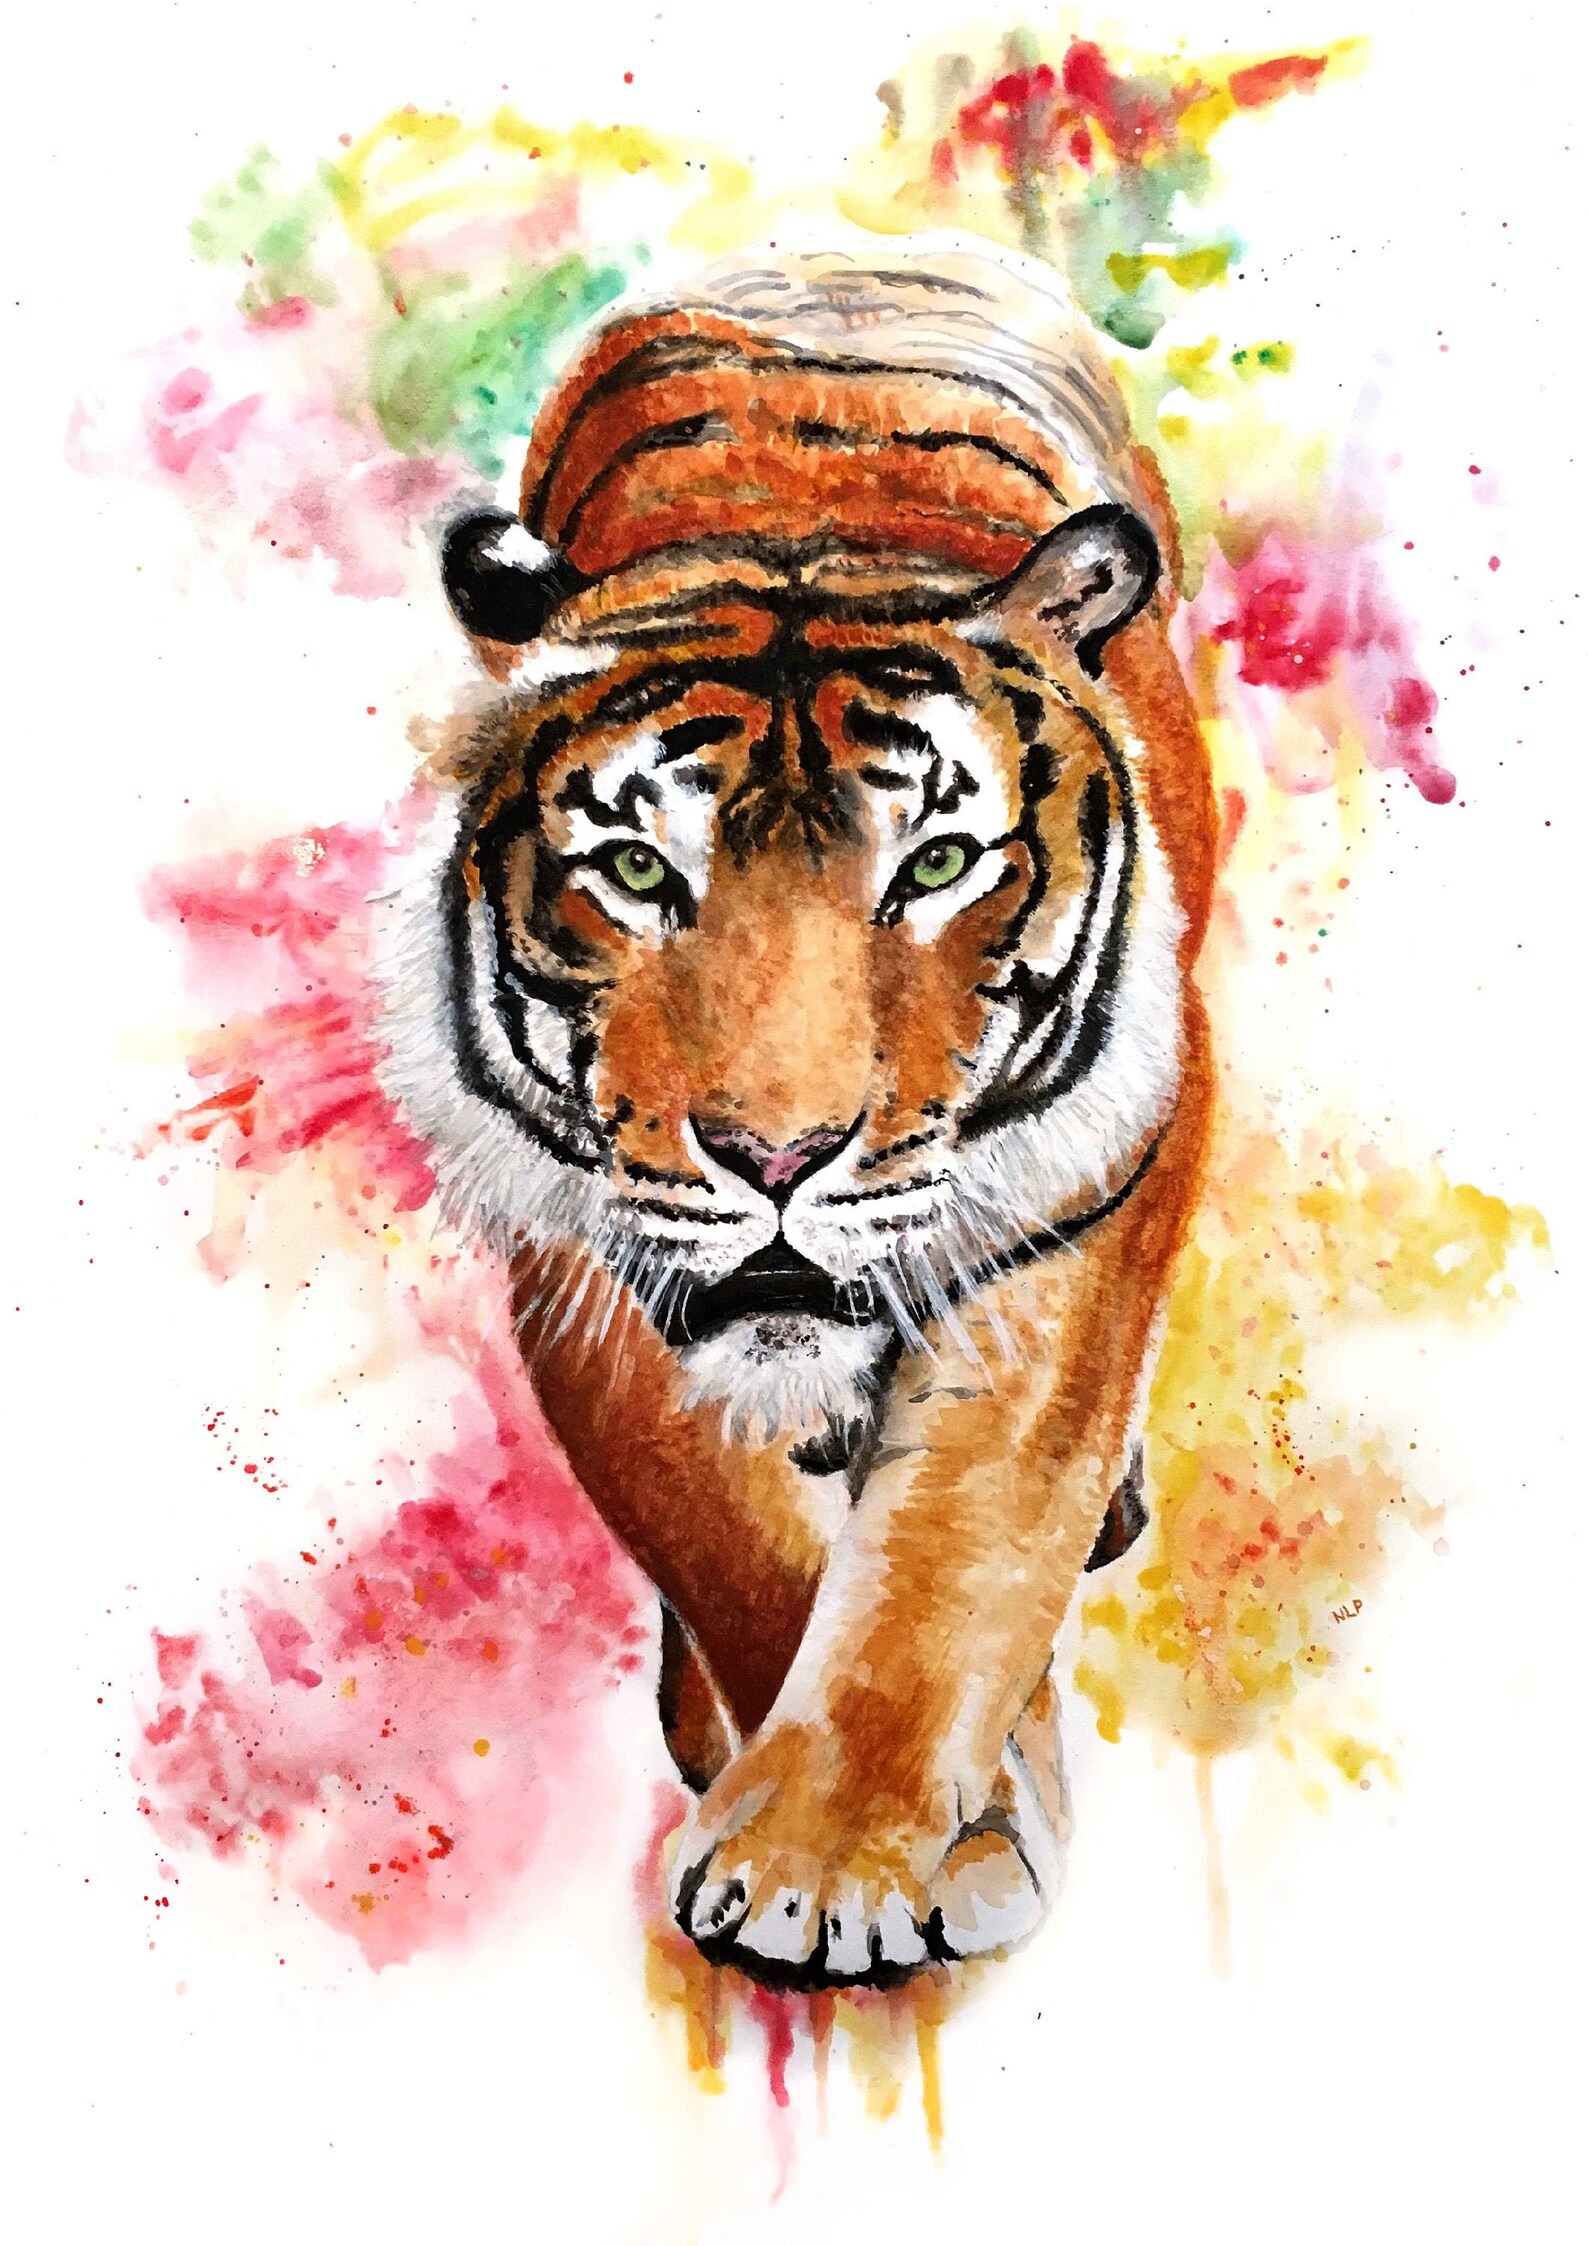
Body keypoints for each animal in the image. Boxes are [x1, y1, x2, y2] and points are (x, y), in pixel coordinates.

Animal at [380, 241, 1216, 1987]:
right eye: (638, 871)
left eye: (939, 863)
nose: (777, 1157)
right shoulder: (592, 1253)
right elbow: (736, 1539)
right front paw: (864, 1825)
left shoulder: (1084, 1199)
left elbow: (961, 1547)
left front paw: (838, 1862)